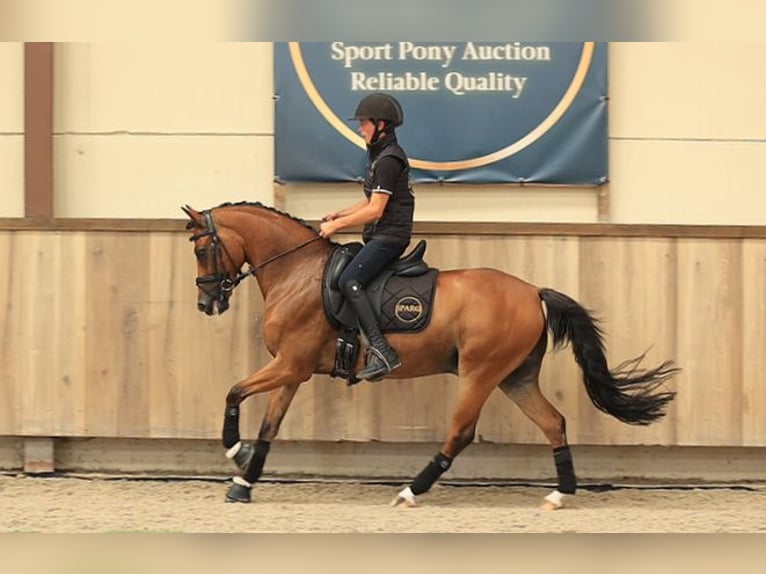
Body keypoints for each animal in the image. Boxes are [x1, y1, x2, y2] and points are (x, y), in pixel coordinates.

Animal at [182, 201, 679, 510]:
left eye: (204, 248)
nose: (206, 304)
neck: (297, 272)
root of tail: (533, 291)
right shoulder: (293, 369)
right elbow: (268, 425)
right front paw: (244, 480)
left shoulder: (290, 364)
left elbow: (233, 392)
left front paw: (234, 451)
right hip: (515, 376)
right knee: (553, 422)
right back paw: (561, 494)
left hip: (480, 372)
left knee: (461, 432)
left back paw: (410, 491)